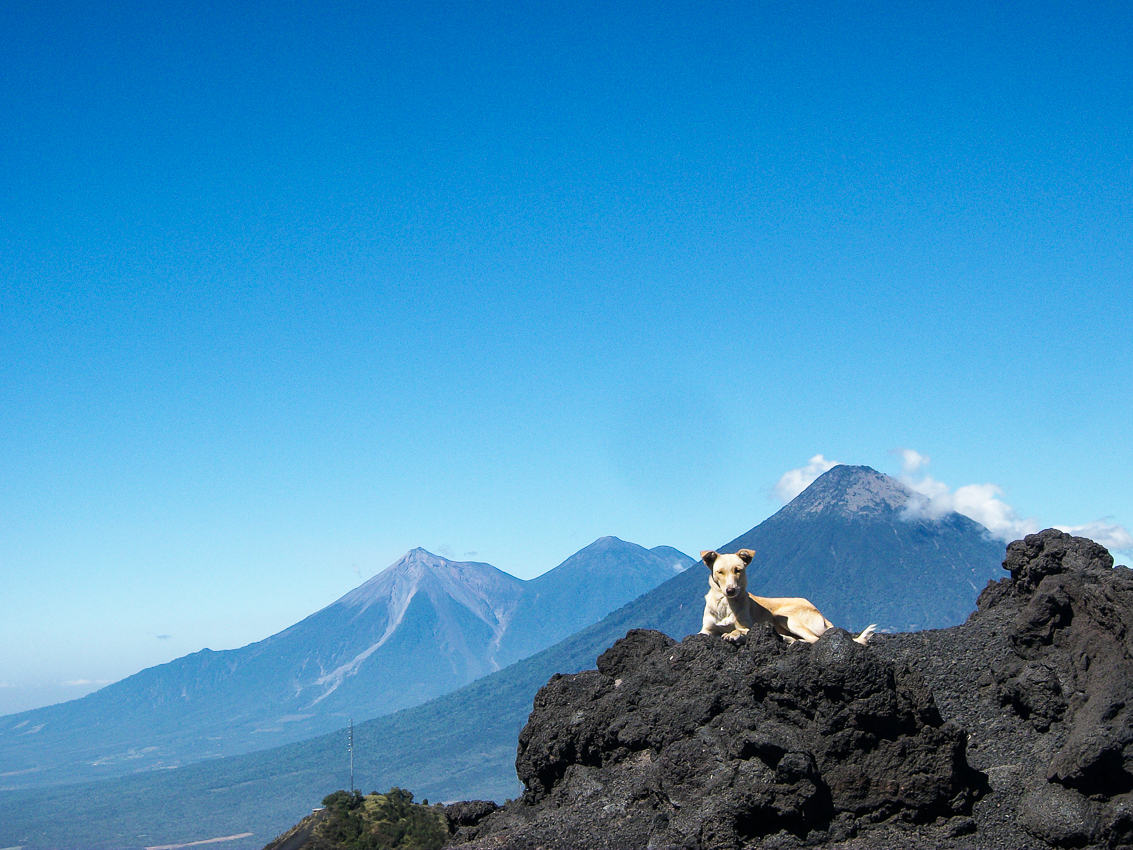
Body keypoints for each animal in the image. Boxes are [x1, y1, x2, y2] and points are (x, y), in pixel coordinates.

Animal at [697, 548, 874, 648]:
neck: (725, 604)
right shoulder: (706, 630)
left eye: (738, 570)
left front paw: (733, 635)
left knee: (813, 639)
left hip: (784, 616)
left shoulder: (748, 626)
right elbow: (702, 634)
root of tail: (823, 616)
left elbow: (739, 629)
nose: (731, 590)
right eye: (720, 572)